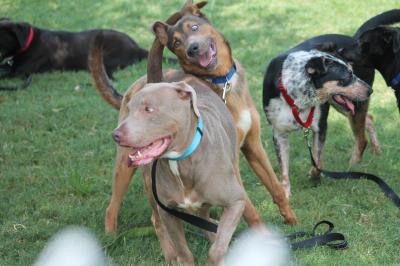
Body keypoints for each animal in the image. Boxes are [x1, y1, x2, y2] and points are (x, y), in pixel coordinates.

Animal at [90, 0, 296, 233]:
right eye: (177, 42)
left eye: (195, 28)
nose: (192, 49)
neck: (221, 82)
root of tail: (144, 82)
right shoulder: (231, 165)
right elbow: (248, 208)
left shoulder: (253, 145)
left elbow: (276, 187)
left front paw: (292, 220)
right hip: (127, 164)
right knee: (120, 209)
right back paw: (111, 235)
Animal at [262, 50, 372, 197]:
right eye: (347, 76)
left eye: (352, 72)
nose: (370, 90)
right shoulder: (279, 133)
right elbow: (283, 169)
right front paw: (285, 194)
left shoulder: (321, 127)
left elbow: (316, 162)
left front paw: (314, 176)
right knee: (369, 119)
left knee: (361, 136)